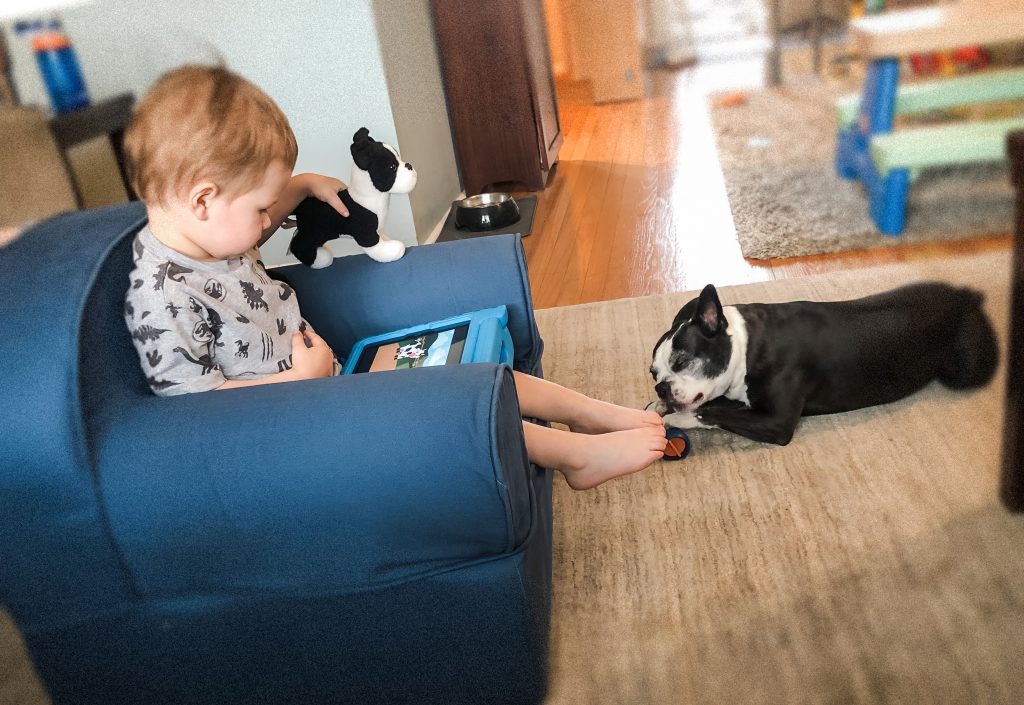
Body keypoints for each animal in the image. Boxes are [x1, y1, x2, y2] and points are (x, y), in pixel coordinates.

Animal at [651, 282, 995, 442]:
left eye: (682, 361)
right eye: (654, 373)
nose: (661, 389)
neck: (746, 346)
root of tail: (964, 294)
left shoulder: (777, 422)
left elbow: (710, 412)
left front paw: (675, 418)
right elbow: (718, 405)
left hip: (965, 371)